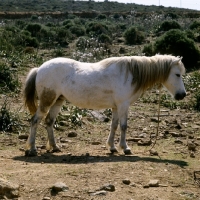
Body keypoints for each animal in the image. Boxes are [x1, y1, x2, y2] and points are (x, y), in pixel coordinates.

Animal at [23, 54, 186, 156]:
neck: (131, 75)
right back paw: (32, 149)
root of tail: (39, 68)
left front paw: (112, 147)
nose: (182, 95)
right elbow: (123, 126)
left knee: (49, 122)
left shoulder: (115, 107)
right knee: (35, 120)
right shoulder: (123, 105)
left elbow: (114, 126)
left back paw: (55, 147)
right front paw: (125, 148)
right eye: (177, 74)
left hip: (58, 101)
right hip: (47, 101)